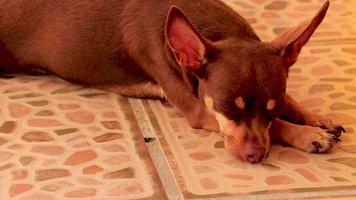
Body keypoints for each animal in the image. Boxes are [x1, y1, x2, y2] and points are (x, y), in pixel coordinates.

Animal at [0, 0, 344, 162]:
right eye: (227, 109)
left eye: (272, 110)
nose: (255, 156)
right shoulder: (199, 111)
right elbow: (278, 130)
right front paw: (308, 134)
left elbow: (290, 107)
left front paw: (315, 118)